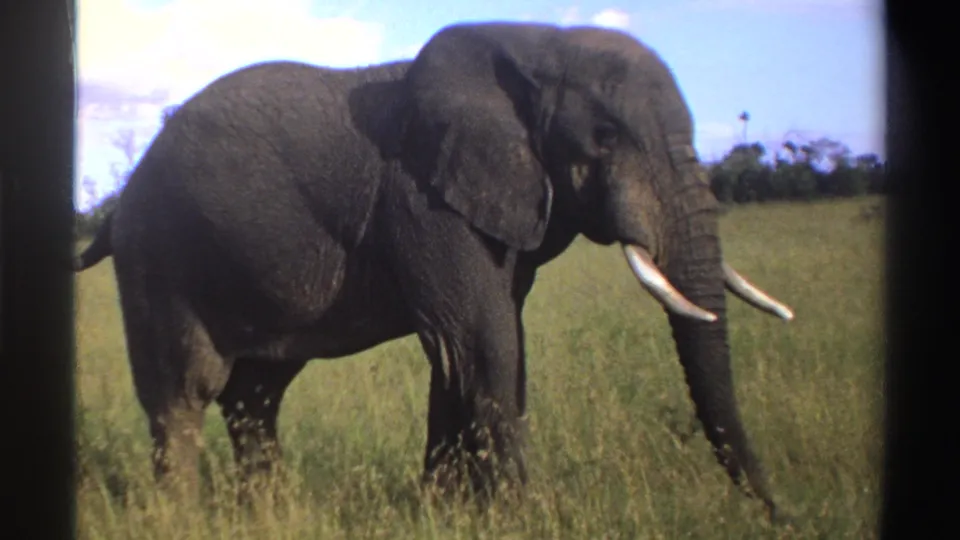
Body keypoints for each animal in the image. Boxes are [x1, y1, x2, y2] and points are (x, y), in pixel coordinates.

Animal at [73, 21, 796, 520]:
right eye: (607, 138)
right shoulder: (422, 198)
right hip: (160, 258)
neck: (534, 43)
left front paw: (448, 513)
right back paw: (181, 516)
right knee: (186, 390)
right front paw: (526, 518)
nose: (780, 515)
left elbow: (480, 347)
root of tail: (119, 204)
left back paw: (271, 513)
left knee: (256, 396)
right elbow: (480, 342)